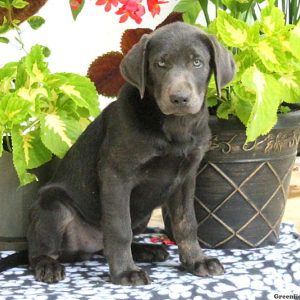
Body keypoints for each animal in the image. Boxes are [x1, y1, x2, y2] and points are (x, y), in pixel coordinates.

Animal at [0, 22, 234, 284]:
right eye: (160, 63)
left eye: (197, 62)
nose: (179, 98)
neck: (175, 127)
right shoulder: (116, 175)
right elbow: (119, 228)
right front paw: (125, 272)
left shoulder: (186, 178)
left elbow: (187, 223)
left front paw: (197, 261)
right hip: (53, 207)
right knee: (39, 251)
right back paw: (48, 265)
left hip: (142, 217)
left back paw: (146, 250)